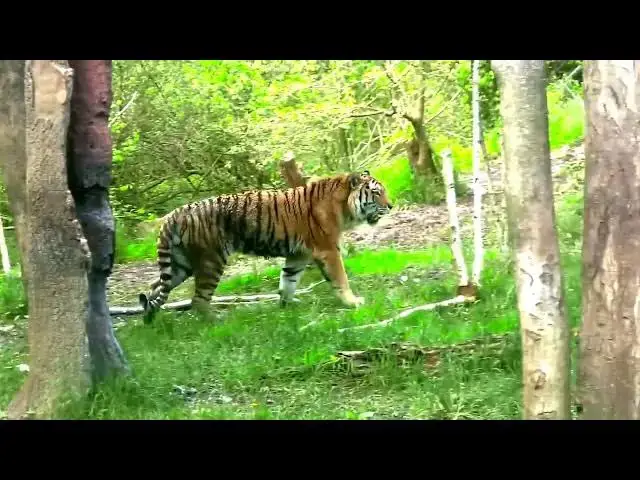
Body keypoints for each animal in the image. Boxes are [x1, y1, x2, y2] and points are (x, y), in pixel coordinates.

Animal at [138, 170, 393, 324]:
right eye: (376, 192)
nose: (391, 205)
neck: (344, 208)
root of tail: (174, 214)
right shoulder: (328, 250)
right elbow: (340, 278)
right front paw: (353, 302)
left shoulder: (298, 254)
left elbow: (288, 281)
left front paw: (287, 305)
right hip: (211, 261)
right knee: (198, 300)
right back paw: (216, 320)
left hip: (180, 265)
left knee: (154, 288)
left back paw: (150, 319)